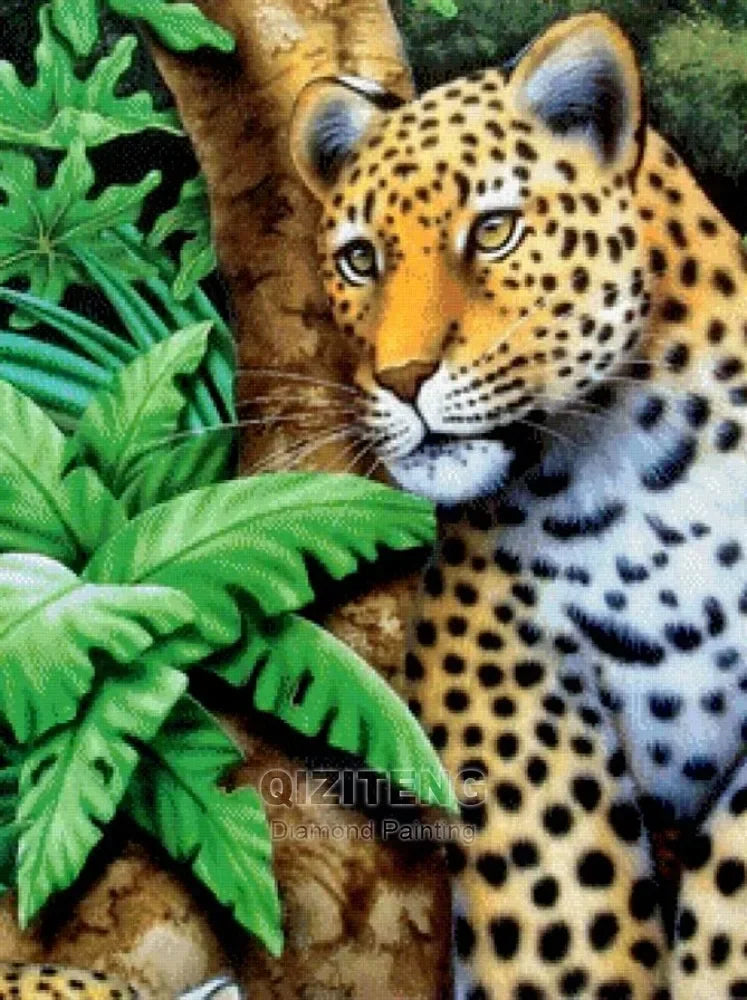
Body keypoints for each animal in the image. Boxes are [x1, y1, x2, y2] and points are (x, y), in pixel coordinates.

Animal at [289, 11, 747, 1000]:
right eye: (359, 259)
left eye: (493, 231)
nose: (402, 378)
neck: (635, 469)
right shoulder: (492, 655)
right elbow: (560, 905)